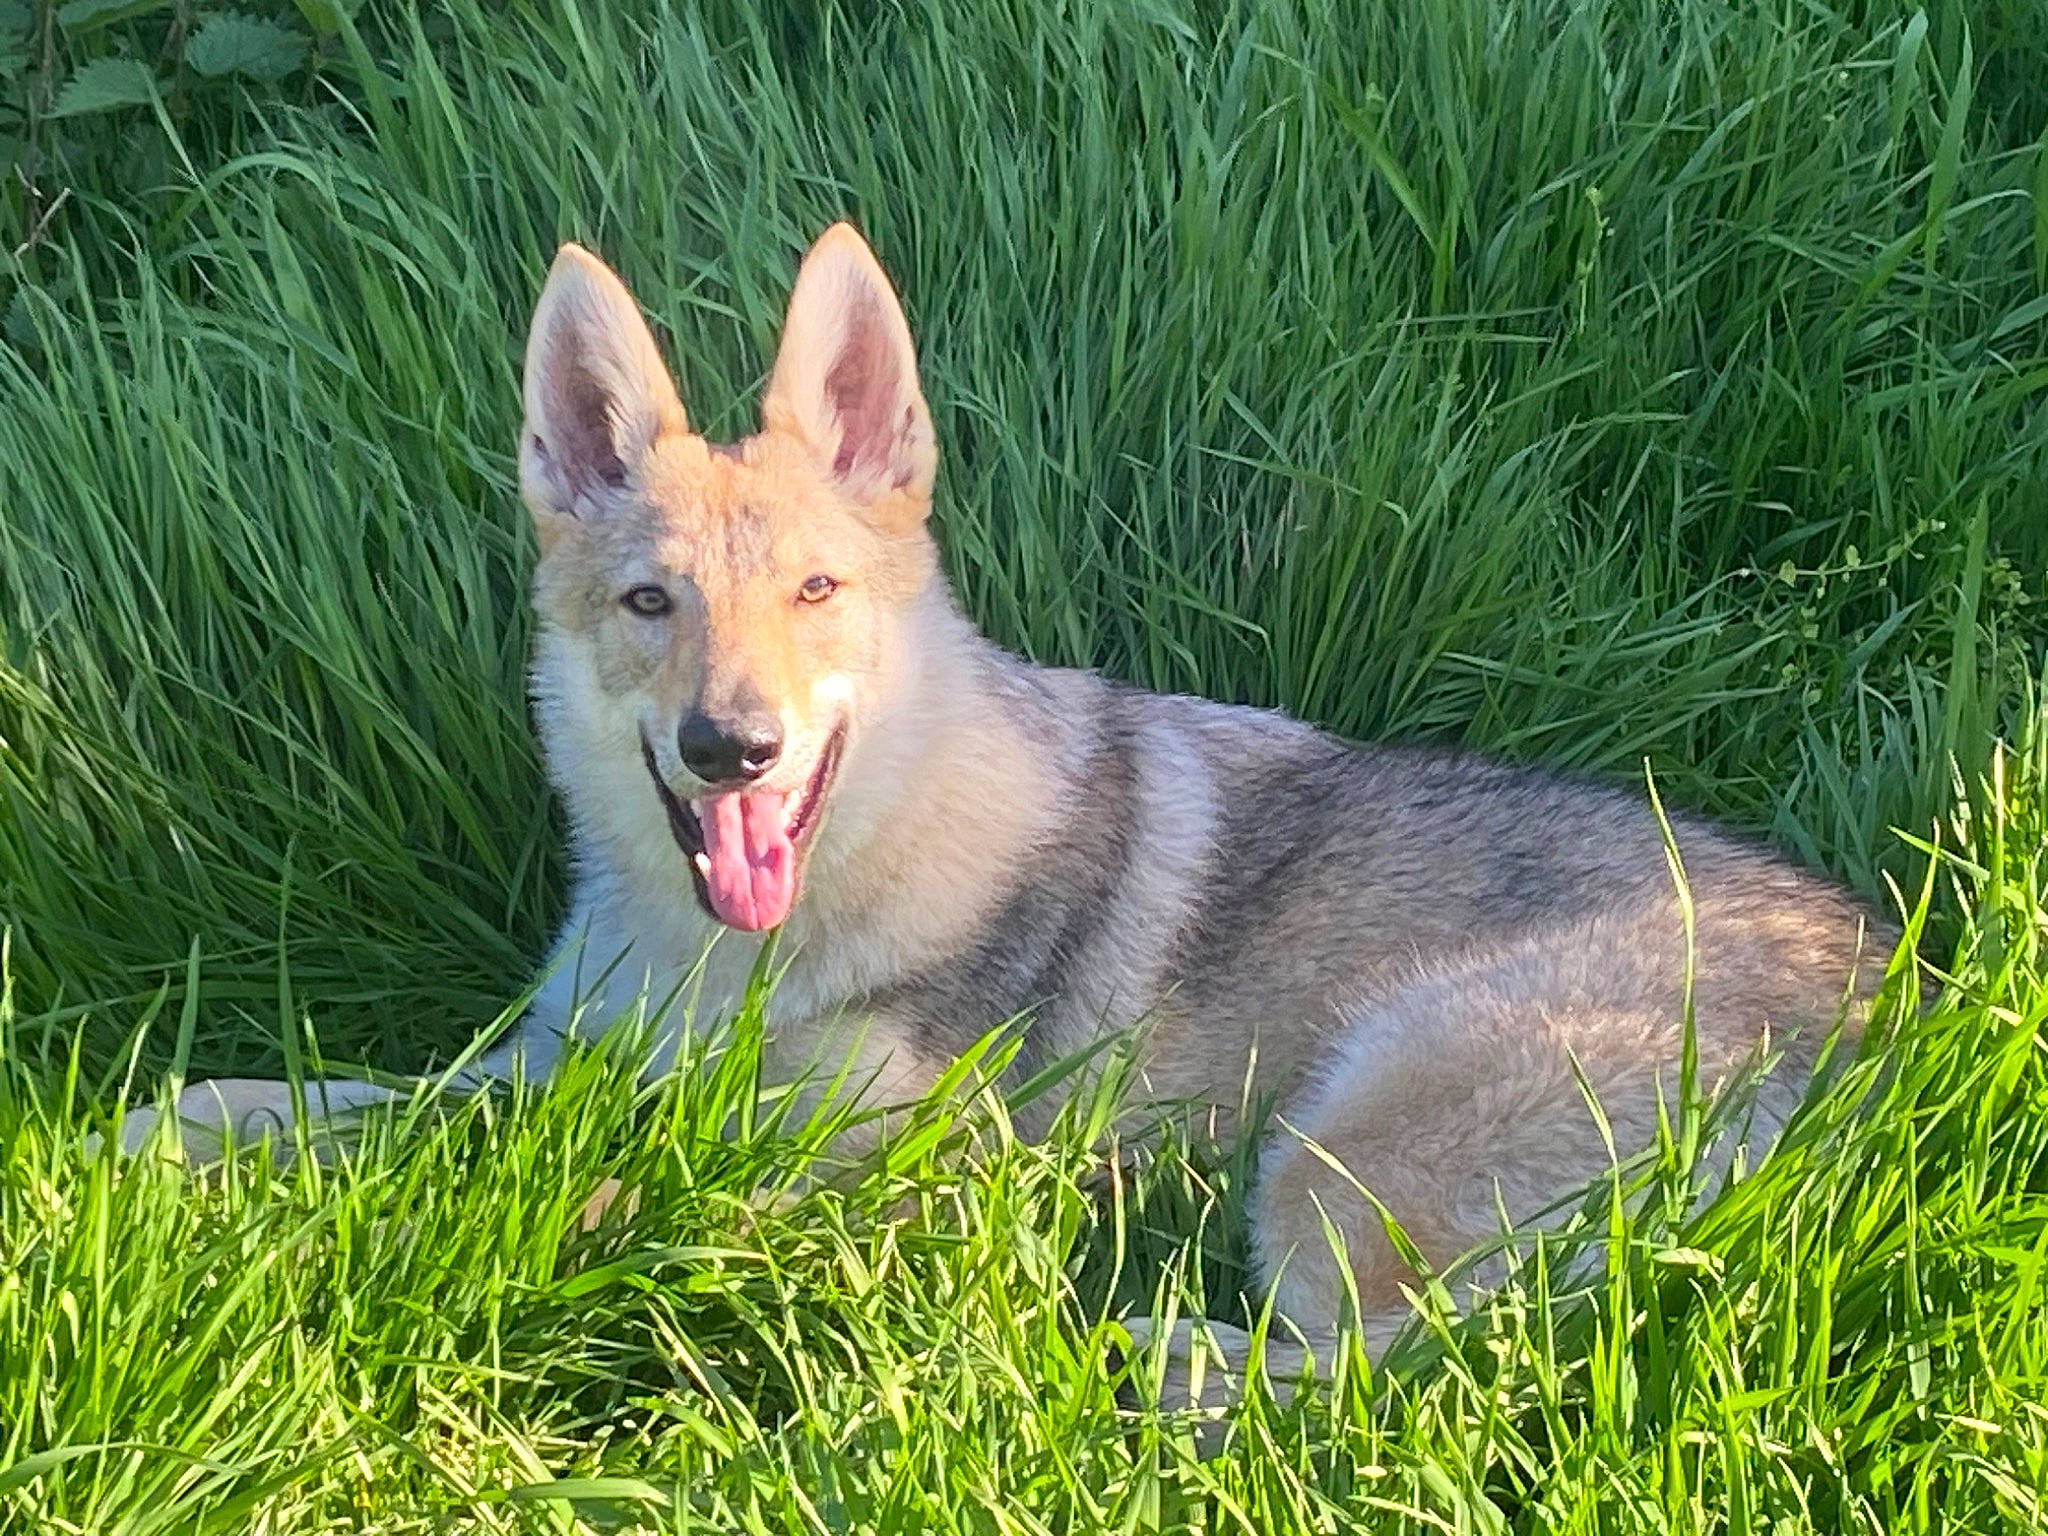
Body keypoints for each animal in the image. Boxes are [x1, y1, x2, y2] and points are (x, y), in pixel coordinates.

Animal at [115, 222, 1897, 1397]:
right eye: (650, 604)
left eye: (818, 593)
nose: (730, 748)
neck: (730, 959)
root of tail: (1901, 1009)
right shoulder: (563, 1049)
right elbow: (387, 1096)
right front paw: (186, 1127)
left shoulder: (871, 1171)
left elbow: (552, 1183)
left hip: (1338, 1150)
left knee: (1397, 1377)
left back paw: (1152, 1364)